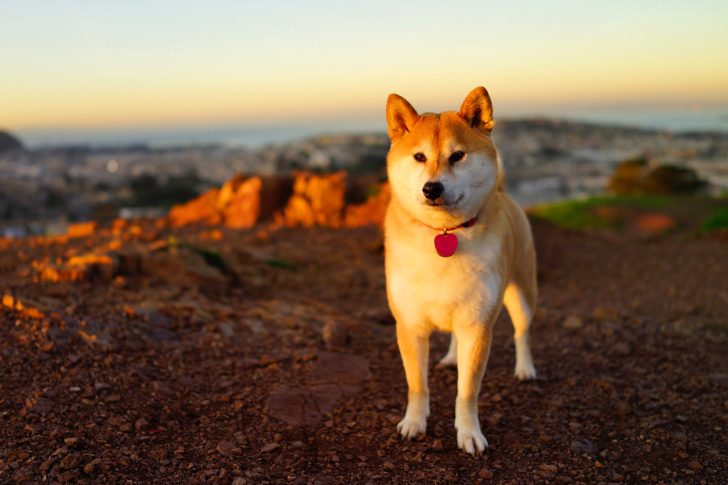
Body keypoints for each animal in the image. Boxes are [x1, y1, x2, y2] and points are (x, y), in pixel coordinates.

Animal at [384, 86, 536, 454]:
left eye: (457, 156)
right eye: (419, 157)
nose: (432, 188)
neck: (444, 233)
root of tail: (504, 193)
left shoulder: (478, 326)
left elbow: (467, 392)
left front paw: (469, 434)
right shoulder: (410, 325)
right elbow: (417, 384)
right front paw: (414, 422)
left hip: (522, 294)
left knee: (522, 333)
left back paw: (525, 368)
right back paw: (452, 357)